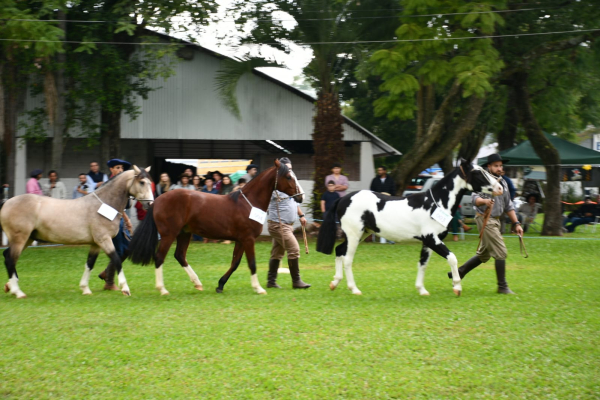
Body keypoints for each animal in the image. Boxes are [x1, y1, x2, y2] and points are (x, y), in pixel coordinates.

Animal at [0, 167, 155, 298]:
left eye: (149, 182)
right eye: (142, 182)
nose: (150, 204)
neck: (103, 204)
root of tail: (6, 203)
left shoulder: (96, 244)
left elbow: (90, 264)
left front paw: (85, 289)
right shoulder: (104, 240)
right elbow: (116, 260)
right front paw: (125, 289)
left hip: (27, 239)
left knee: (8, 256)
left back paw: (11, 287)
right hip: (20, 239)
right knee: (10, 260)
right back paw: (18, 292)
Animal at [128, 159, 302, 294]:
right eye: (288, 176)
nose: (300, 196)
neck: (248, 204)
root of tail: (157, 200)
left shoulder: (240, 240)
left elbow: (235, 263)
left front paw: (220, 285)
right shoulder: (248, 239)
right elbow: (251, 263)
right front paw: (259, 288)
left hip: (184, 233)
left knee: (180, 255)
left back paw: (197, 283)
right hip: (168, 235)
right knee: (159, 257)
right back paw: (162, 289)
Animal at [316, 160, 504, 296]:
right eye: (477, 173)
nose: (500, 188)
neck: (436, 203)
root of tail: (343, 199)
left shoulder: (427, 242)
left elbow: (423, 264)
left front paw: (422, 290)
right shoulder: (432, 239)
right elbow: (452, 258)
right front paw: (457, 287)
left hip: (361, 234)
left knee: (339, 251)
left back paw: (334, 283)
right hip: (354, 234)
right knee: (347, 259)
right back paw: (354, 289)